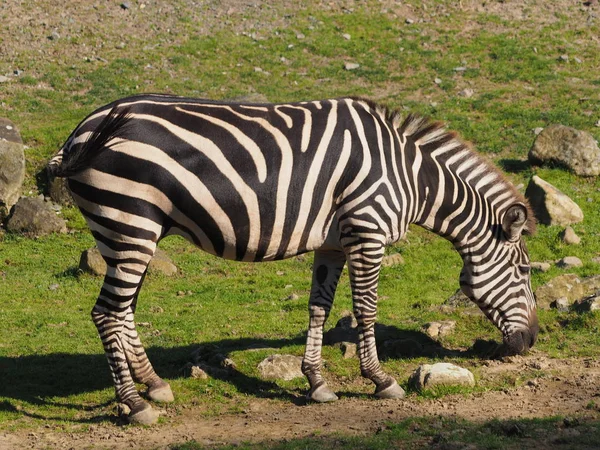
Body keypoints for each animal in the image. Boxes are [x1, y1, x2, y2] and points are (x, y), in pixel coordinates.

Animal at [49, 93, 540, 424]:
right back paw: (134, 405)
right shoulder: (367, 231)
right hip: (129, 223)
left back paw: (154, 386)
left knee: (123, 311)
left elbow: (318, 307)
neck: (409, 176)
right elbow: (366, 309)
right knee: (106, 313)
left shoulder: (333, 243)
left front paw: (317, 382)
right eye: (523, 270)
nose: (532, 341)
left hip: (127, 236)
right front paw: (381, 381)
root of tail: (81, 129)